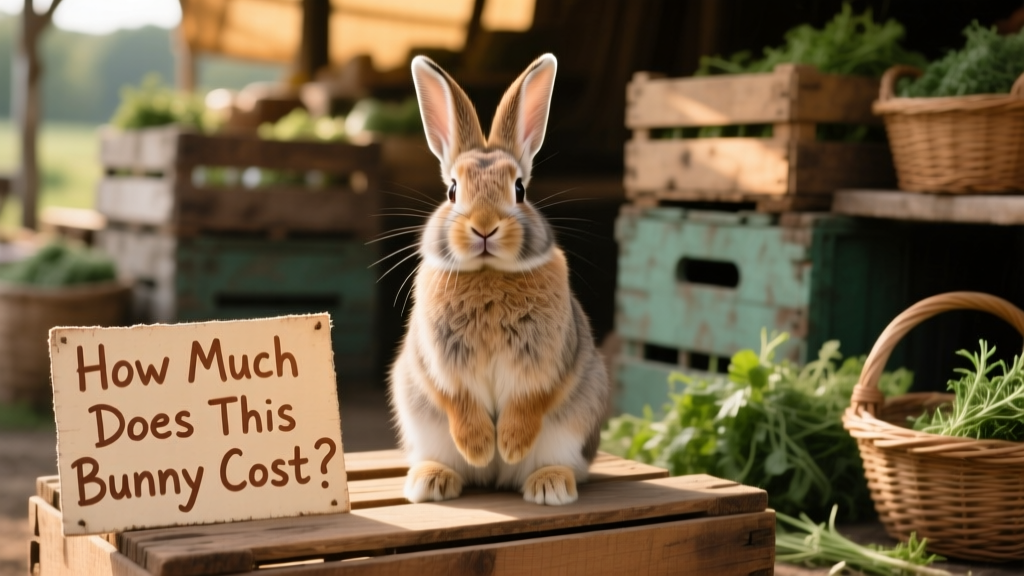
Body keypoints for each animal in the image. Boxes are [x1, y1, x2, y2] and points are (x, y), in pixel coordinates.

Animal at [388, 53, 610, 506]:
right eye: (453, 190)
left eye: (520, 189)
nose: (484, 227)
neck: (489, 275)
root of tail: (495, 482)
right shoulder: (439, 365)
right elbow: (458, 401)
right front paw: (478, 447)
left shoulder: (549, 363)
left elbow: (529, 401)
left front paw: (508, 445)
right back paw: (433, 480)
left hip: (574, 425)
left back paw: (548, 485)